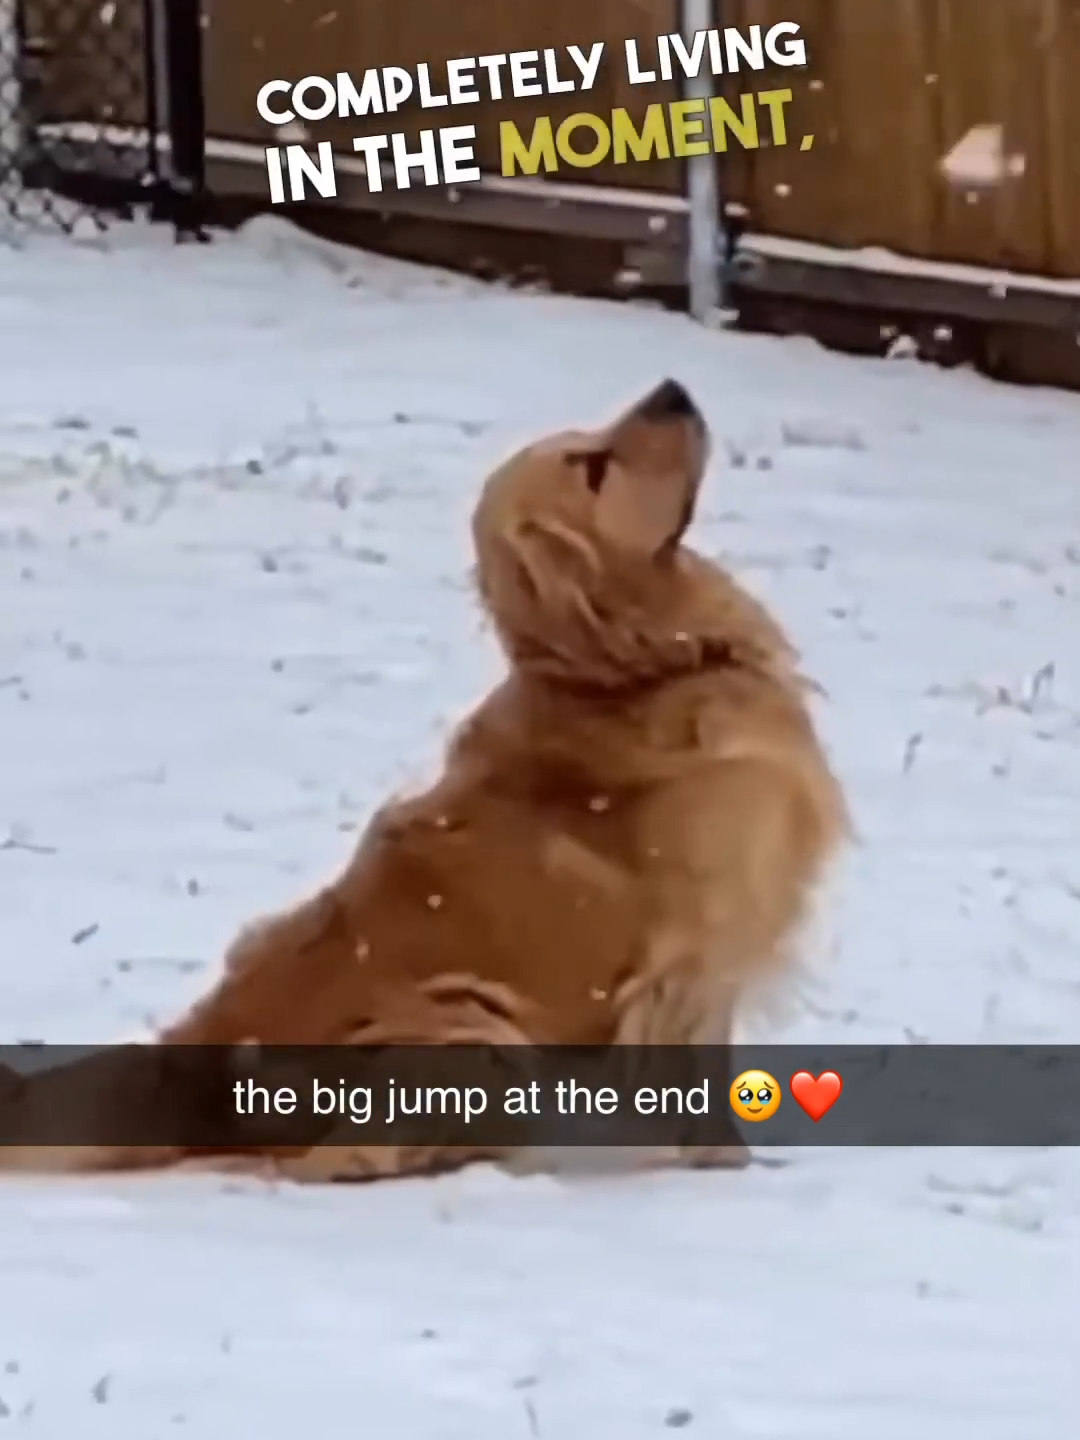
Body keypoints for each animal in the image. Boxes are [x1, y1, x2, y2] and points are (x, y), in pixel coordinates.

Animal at [0, 380, 846, 1180]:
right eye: (592, 466)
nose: (674, 387)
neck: (635, 674)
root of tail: (188, 1065)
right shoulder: (695, 958)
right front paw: (730, 1170)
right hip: (475, 1027)